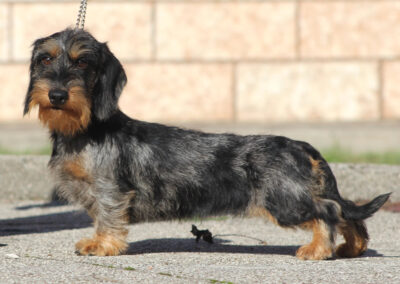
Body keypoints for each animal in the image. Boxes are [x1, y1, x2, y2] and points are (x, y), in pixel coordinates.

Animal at [22, 29, 390, 260]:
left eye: (82, 61)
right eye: (45, 60)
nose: (57, 95)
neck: (85, 128)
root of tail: (303, 147)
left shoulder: (110, 190)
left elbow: (107, 218)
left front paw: (103, 245)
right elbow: (100, 217)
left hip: (286, 203)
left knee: (329, 211)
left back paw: (317, 250)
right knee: (347, 213)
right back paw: (352, 248)